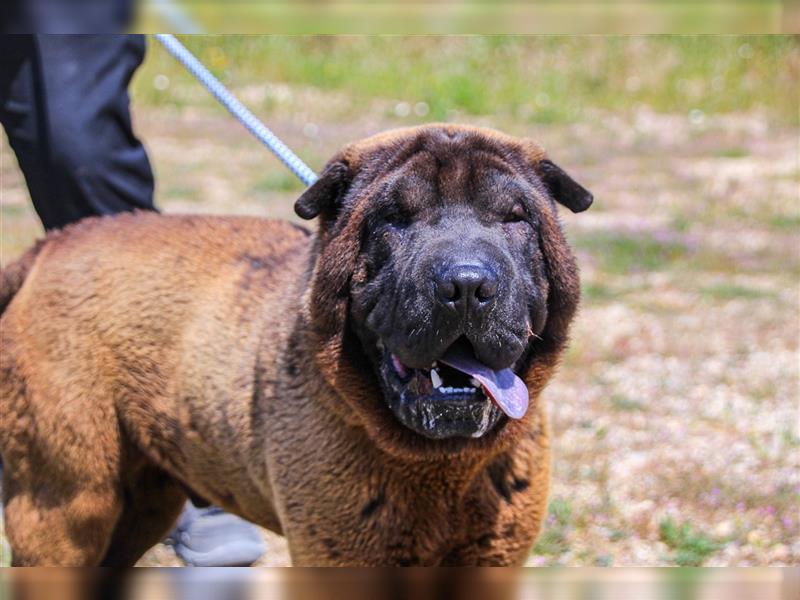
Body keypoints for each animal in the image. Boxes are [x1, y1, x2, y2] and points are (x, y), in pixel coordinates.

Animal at [0, 124, 588, 564]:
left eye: (515, 218)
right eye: (393, 219)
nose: (465, 283)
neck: (441, 468)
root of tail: (48, 246)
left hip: (145, 498)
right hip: (67, 506)